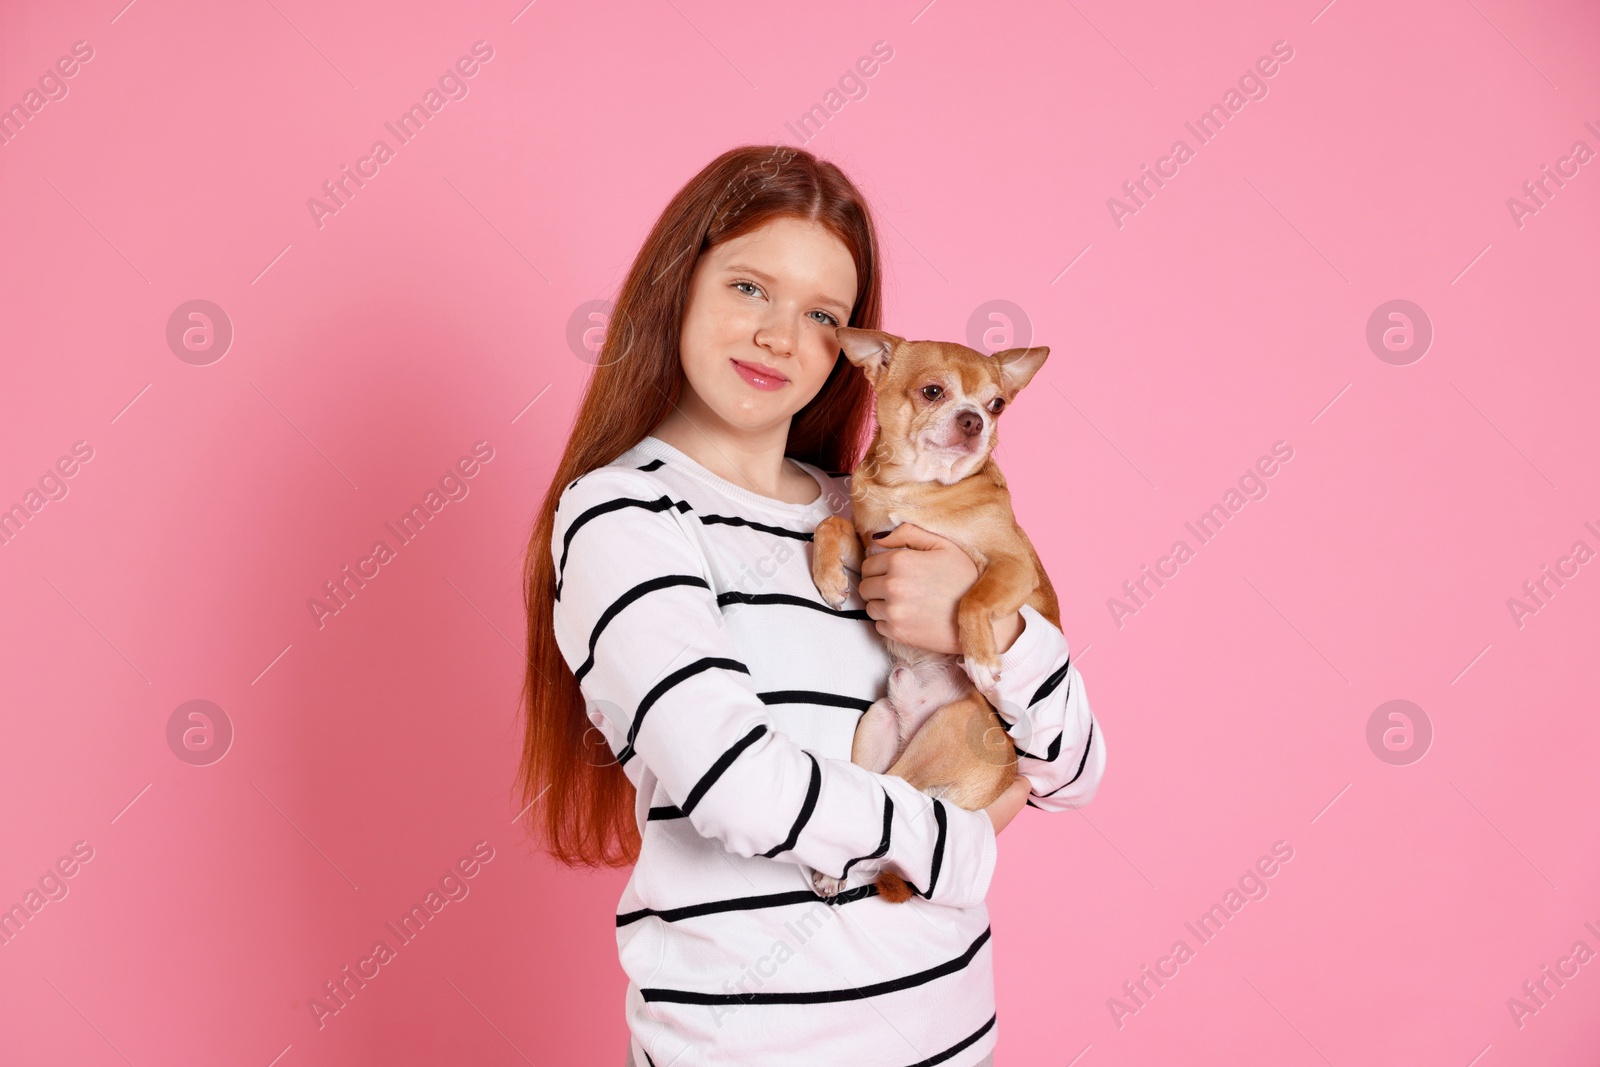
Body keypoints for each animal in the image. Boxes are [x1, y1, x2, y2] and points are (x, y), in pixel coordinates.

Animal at [812, 329, 1062, 908]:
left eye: (997, 405)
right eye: (932, 392)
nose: (975, 420)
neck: (917, 488)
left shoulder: (1011, 566)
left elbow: (973, 599)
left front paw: (982, 660)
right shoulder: (873, 550)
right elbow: (831, 525)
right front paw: (829, 578)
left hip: (943, 734)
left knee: (903, 814)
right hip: (878, 725)